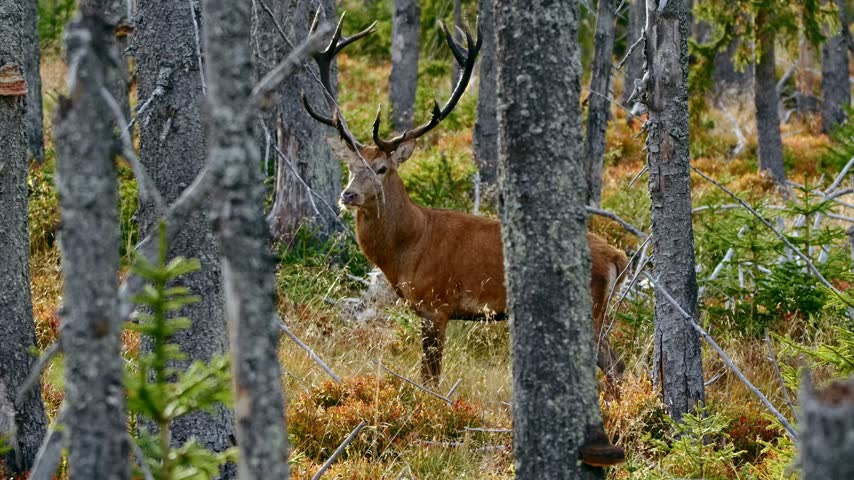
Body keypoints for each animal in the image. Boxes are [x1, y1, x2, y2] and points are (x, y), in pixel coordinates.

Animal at [304, 15, 628, 391]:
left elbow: (430, 378)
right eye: (351, 167)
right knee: (618, 365)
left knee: (613, 367)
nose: (348, 195)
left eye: (382, 168)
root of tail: (619, 257)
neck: (408, 247)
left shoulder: (436, 304)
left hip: (590, 308)